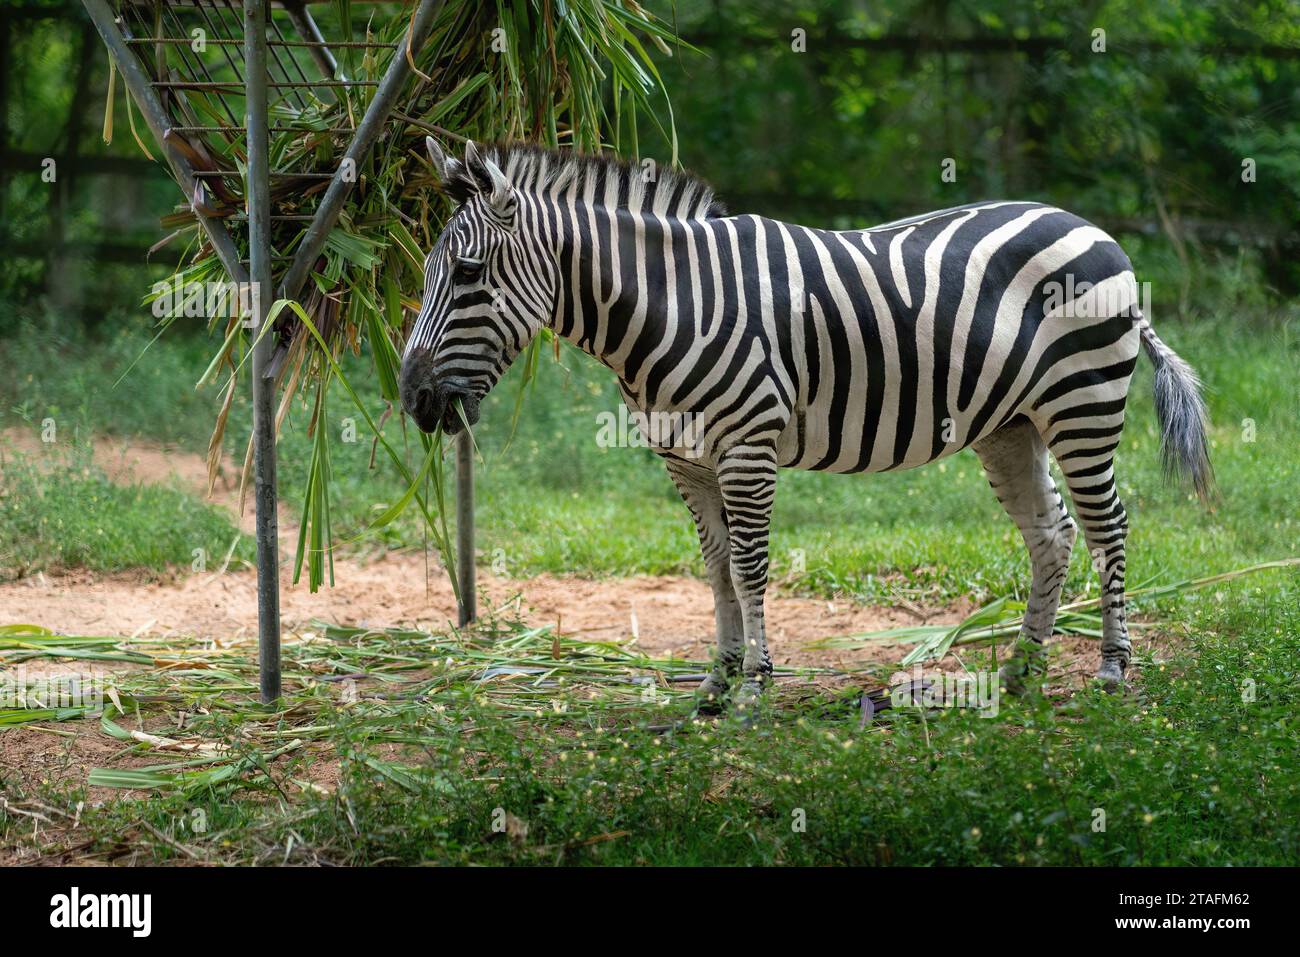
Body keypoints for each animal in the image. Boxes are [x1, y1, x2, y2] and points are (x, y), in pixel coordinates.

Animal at [400, 140, 1211, 712]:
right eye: (429, 274)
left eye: (467, 275)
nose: (412, 399)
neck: (671, 305)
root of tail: (1088, 225)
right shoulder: (685, 461)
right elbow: (715, 569)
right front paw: (715, 686)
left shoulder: (747, 447)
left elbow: (751, 566)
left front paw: (756, 687)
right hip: (1012, 423)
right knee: (1053, 533)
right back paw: (1021, 671)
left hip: (1083, 405)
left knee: (1108, 526)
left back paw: (1111, 669)